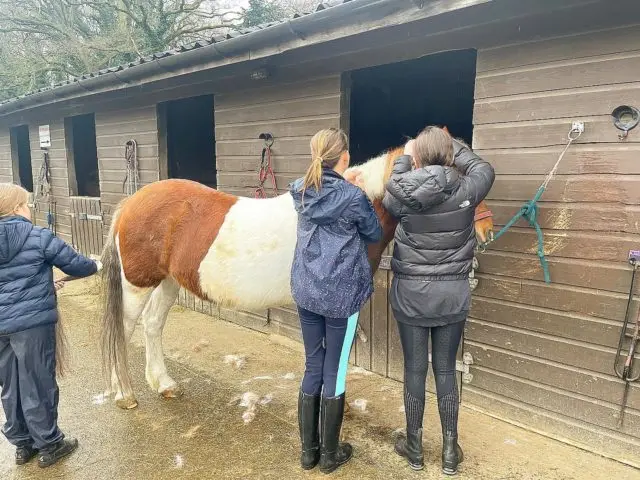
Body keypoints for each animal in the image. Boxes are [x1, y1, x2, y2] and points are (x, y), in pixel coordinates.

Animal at [100, 145, 494, 409]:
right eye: (457, 173)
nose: (487, 228)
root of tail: (131, 202)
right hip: (137, 285)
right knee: (124, 329)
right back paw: (124, 394)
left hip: (167, 281)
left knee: (153, 326)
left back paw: (163, 384)